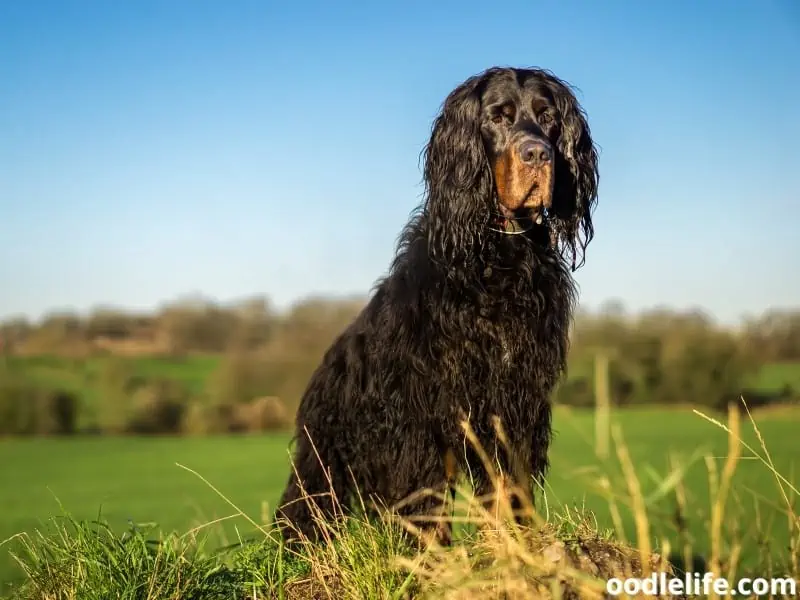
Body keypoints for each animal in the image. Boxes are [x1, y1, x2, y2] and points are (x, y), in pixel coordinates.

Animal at [278, 65, 596, 544]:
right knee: (305, 508)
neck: (499, 257)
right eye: (498, 117)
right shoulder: (423, 412)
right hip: (324, 459)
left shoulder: (514, 399)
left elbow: (508, 482)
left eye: (549, 118)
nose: (538, 154)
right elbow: (425, 495)